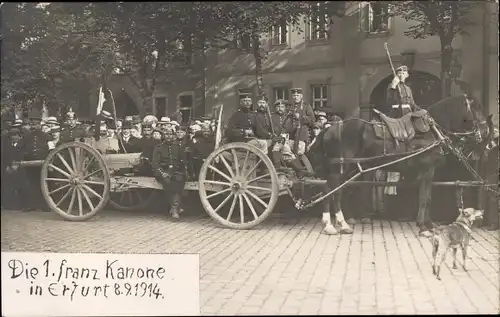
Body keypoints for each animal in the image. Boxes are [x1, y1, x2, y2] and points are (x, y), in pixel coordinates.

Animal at [312, 94, 492, 237]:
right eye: (476, 108)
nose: (486, 133)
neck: (431, 132)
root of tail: (330, 128)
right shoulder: (427, 170)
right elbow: (424, 199)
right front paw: (423, 227)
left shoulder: (429, 172)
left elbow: (428, 197)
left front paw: (430, 225)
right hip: (340, 168)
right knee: (329, 190)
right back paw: (330, 225)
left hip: (349, 169)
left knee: (336, 192)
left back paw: (341, 225)